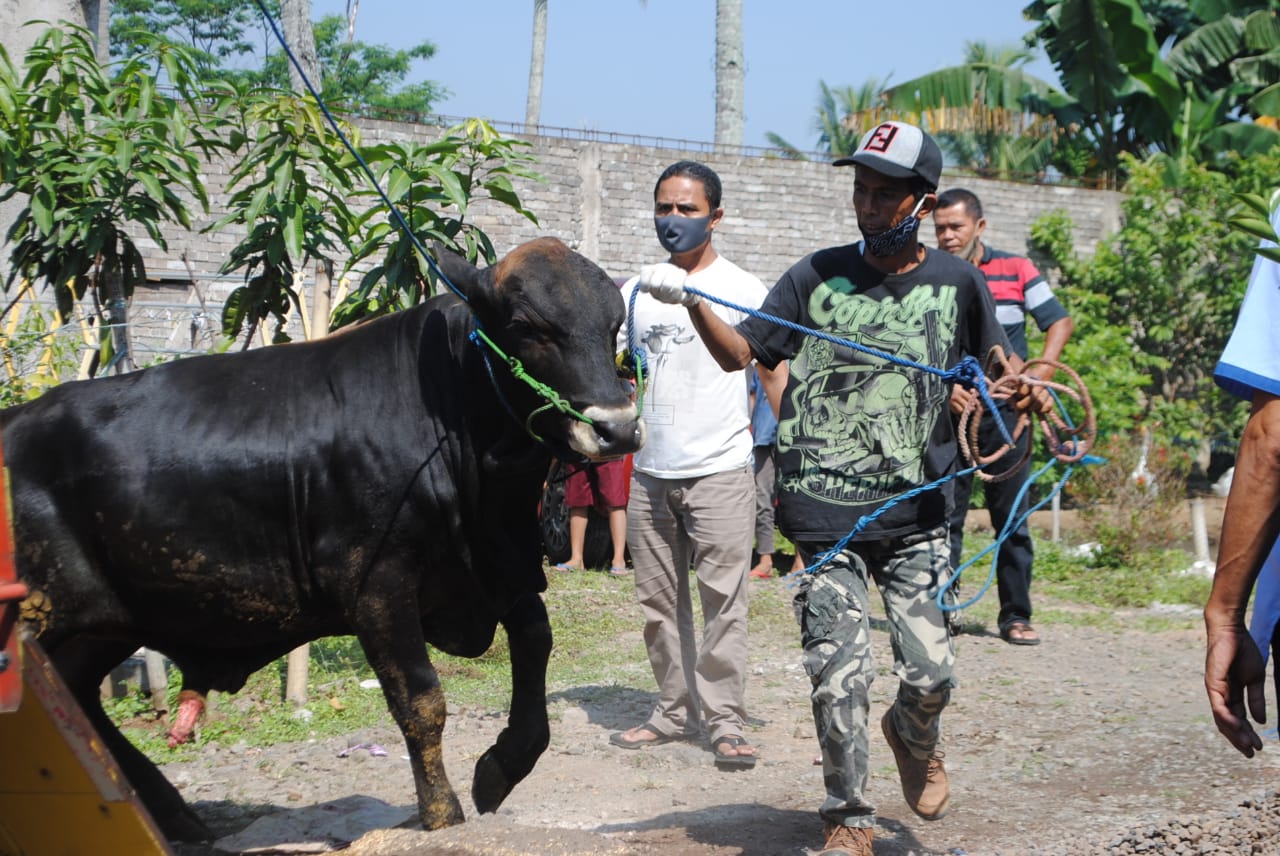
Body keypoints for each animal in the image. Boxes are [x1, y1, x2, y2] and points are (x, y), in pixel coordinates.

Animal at [0, 236, 640, 839]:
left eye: (613, 325)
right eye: (527, 326)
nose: (618, 429)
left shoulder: (493, 568)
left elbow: (535, 641)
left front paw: (500, 768)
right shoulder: (377, 587)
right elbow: (422, 702)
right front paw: (442, 814)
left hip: (107, 622)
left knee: (78, 697)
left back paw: (173, 815)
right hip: (46, 618)